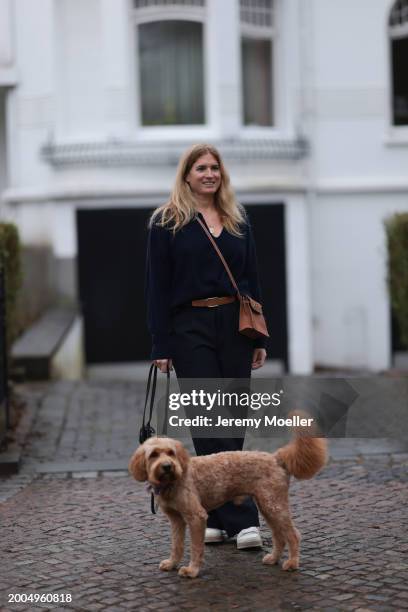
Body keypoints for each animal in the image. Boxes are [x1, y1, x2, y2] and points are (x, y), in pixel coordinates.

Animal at [129, 428, 326, 576]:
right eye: (153, 455)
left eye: (171, 453)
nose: (167, 466)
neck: (173, 481)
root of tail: (276, 458)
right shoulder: (176, 519)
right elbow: (176, 545)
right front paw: (172, 563)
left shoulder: (196, 517)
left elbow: (195, 547)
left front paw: (192, 570)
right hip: (268, 505)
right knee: (279, 535)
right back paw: (273, 558)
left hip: (274, 505)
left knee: (293, 535)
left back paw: (292, 563)